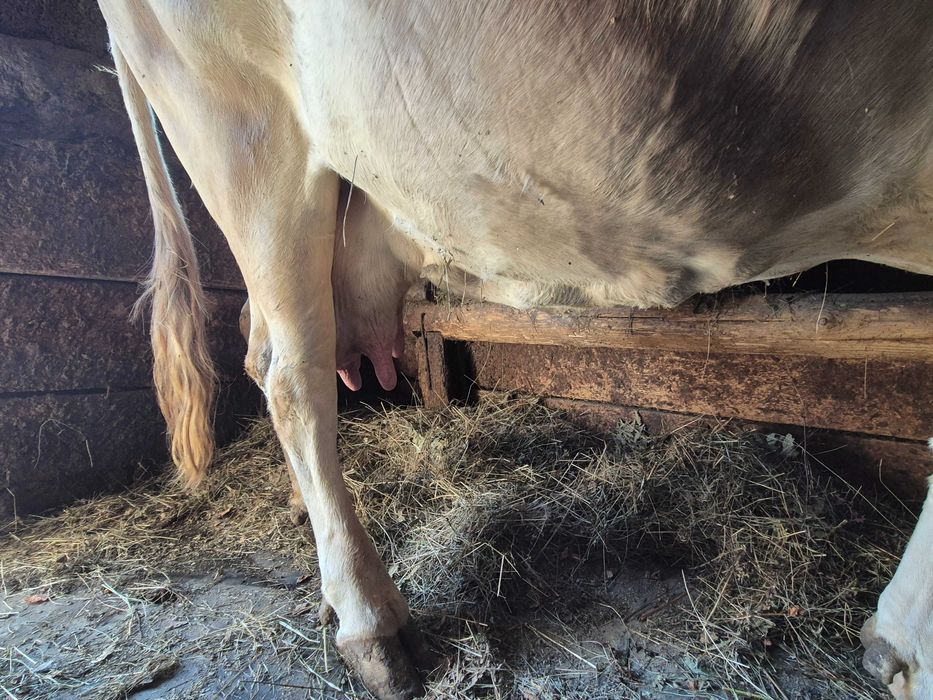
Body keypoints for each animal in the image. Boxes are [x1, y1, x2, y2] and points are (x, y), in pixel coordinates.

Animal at [97, 1, 933, 698]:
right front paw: (904, 645)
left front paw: (894, 641)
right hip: (243, 136)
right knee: (292, 372)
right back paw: (373, 627)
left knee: (260, 342)